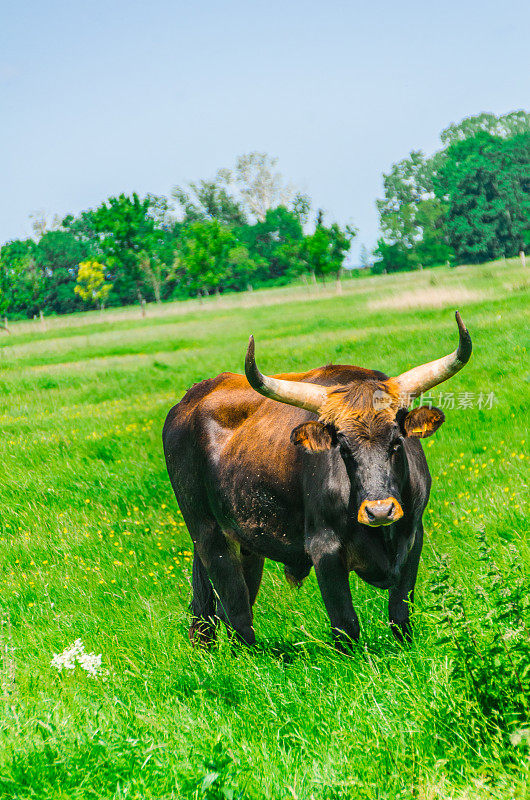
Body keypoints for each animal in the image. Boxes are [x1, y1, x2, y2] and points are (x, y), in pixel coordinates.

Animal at [162, 312, 470, 648]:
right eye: (343, 448)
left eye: (397, 442)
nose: (379, 511)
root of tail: (190, 399)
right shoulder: (325, 551)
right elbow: (345, 625)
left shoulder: (413, 538)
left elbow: (400, 615)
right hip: (208, 535)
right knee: (236, 611)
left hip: (246, 543)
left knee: (218, 610)